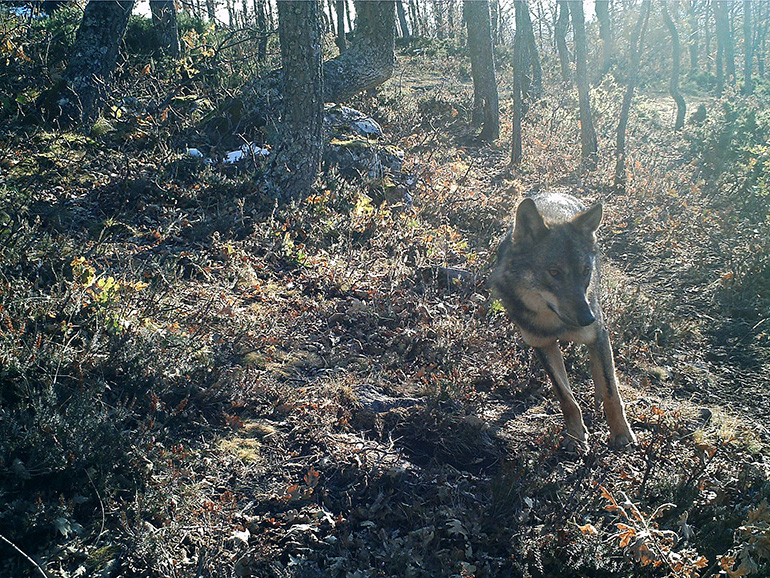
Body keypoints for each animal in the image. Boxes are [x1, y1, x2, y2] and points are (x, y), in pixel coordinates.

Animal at [492, 191, 636, 448]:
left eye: (585, 271)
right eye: (554, 272)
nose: (588, 318)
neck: (555, 323)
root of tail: (557, 191)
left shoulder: (598, 333)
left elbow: (612, 391)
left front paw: (621, 433)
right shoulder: (542, 344)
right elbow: (566, 397)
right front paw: (576, 436)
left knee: (602, 370)